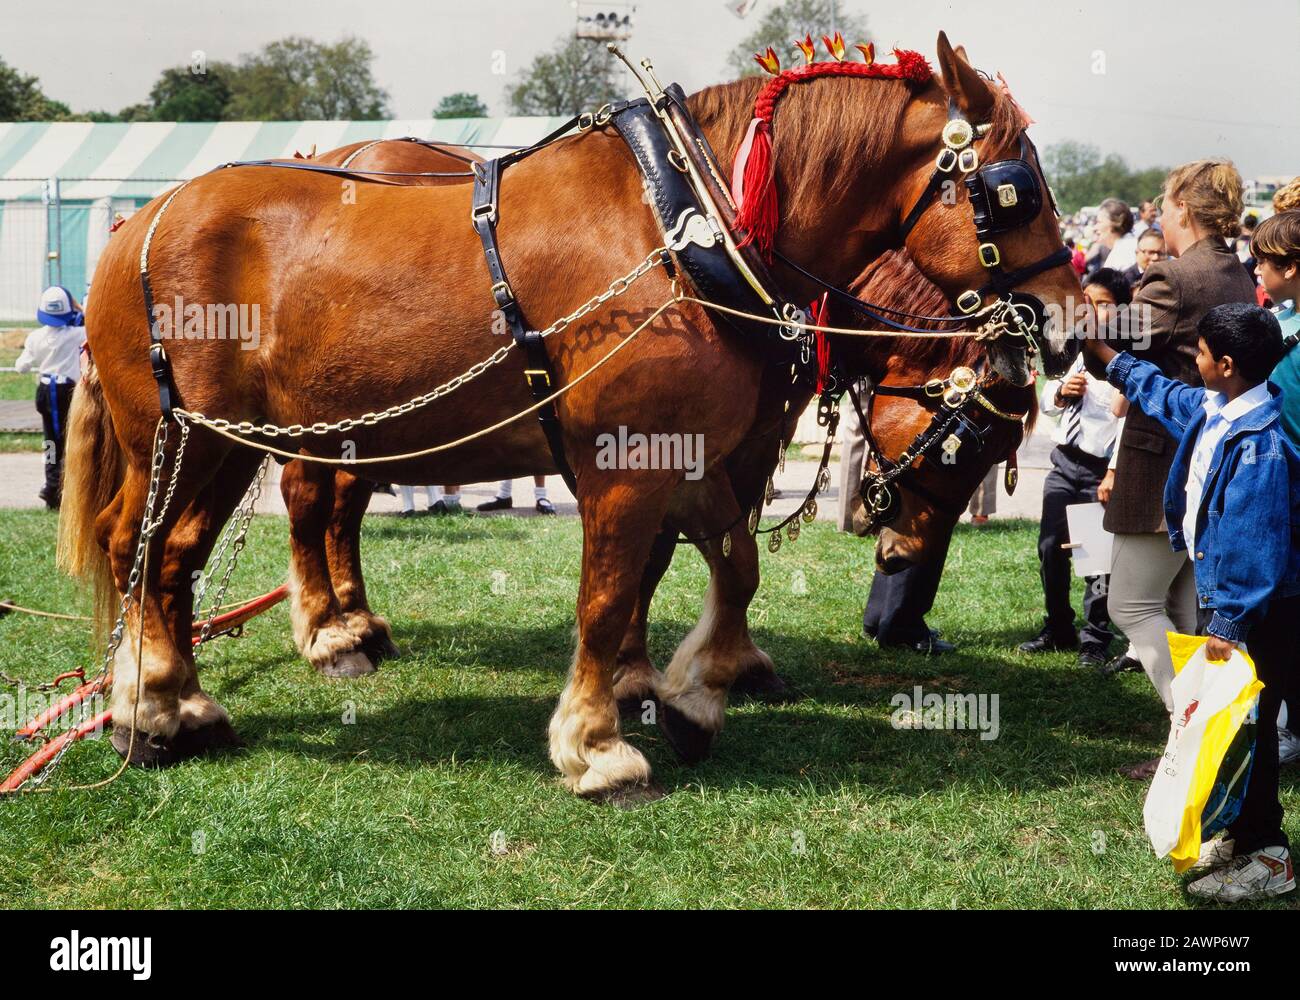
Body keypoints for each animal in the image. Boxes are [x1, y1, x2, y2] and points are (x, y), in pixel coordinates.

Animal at [59, 33, 1081, 801]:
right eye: (1016, 190)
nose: (1068, 321)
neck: (686, 229)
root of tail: (134, 223)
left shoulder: (696, 454)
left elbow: (729, 566)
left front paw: (693, 692)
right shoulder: (629, 464)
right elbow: (609, 593)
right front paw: (599, 743)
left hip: (239, 441)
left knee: (174, 554)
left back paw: (186, 700)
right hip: (183, 438)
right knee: (156, 544)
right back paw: (170, 702)